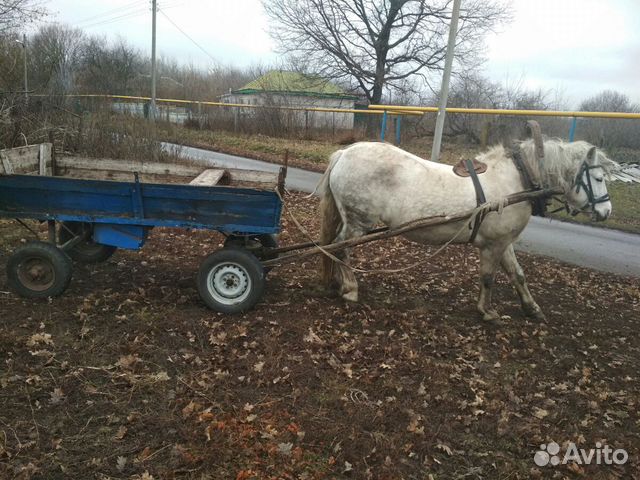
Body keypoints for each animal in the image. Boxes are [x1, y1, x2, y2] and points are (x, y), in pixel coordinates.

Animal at [318, 137, 616, 320]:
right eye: (598, 178)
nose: (606, 211)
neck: (516, 182)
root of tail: (344, 154)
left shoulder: (504, 242)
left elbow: (518, 275)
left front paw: (532, 308)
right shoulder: (493, 245)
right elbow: (488, 277)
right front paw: (486, 311)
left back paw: (336, 283)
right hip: (358, 222)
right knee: (340, 248)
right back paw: (350, 288)